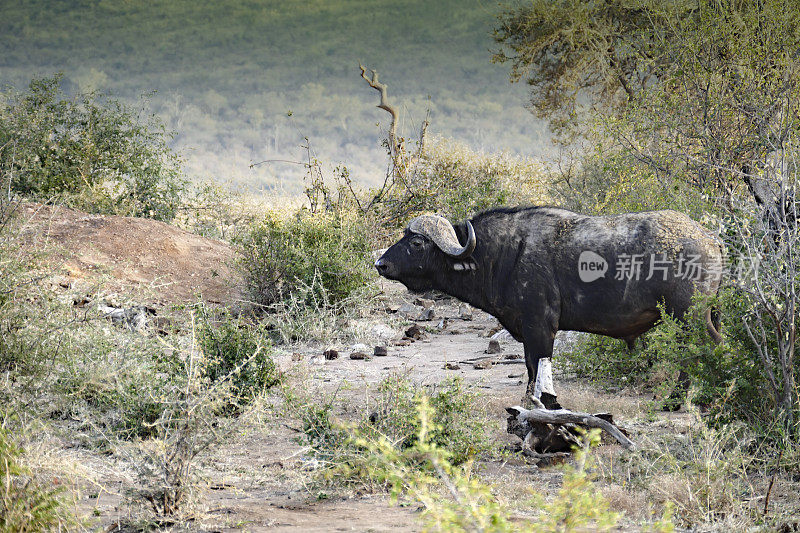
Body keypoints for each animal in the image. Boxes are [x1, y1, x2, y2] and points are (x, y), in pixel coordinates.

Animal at [376, 208, 724, 408]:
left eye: (416, 243)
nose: (380, 263)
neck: (501, 255)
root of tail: (709, 238)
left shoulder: (540, 326)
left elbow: (539, 364)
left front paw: (545, 400)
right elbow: (530, 366)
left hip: (690, 318)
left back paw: (680, 400)